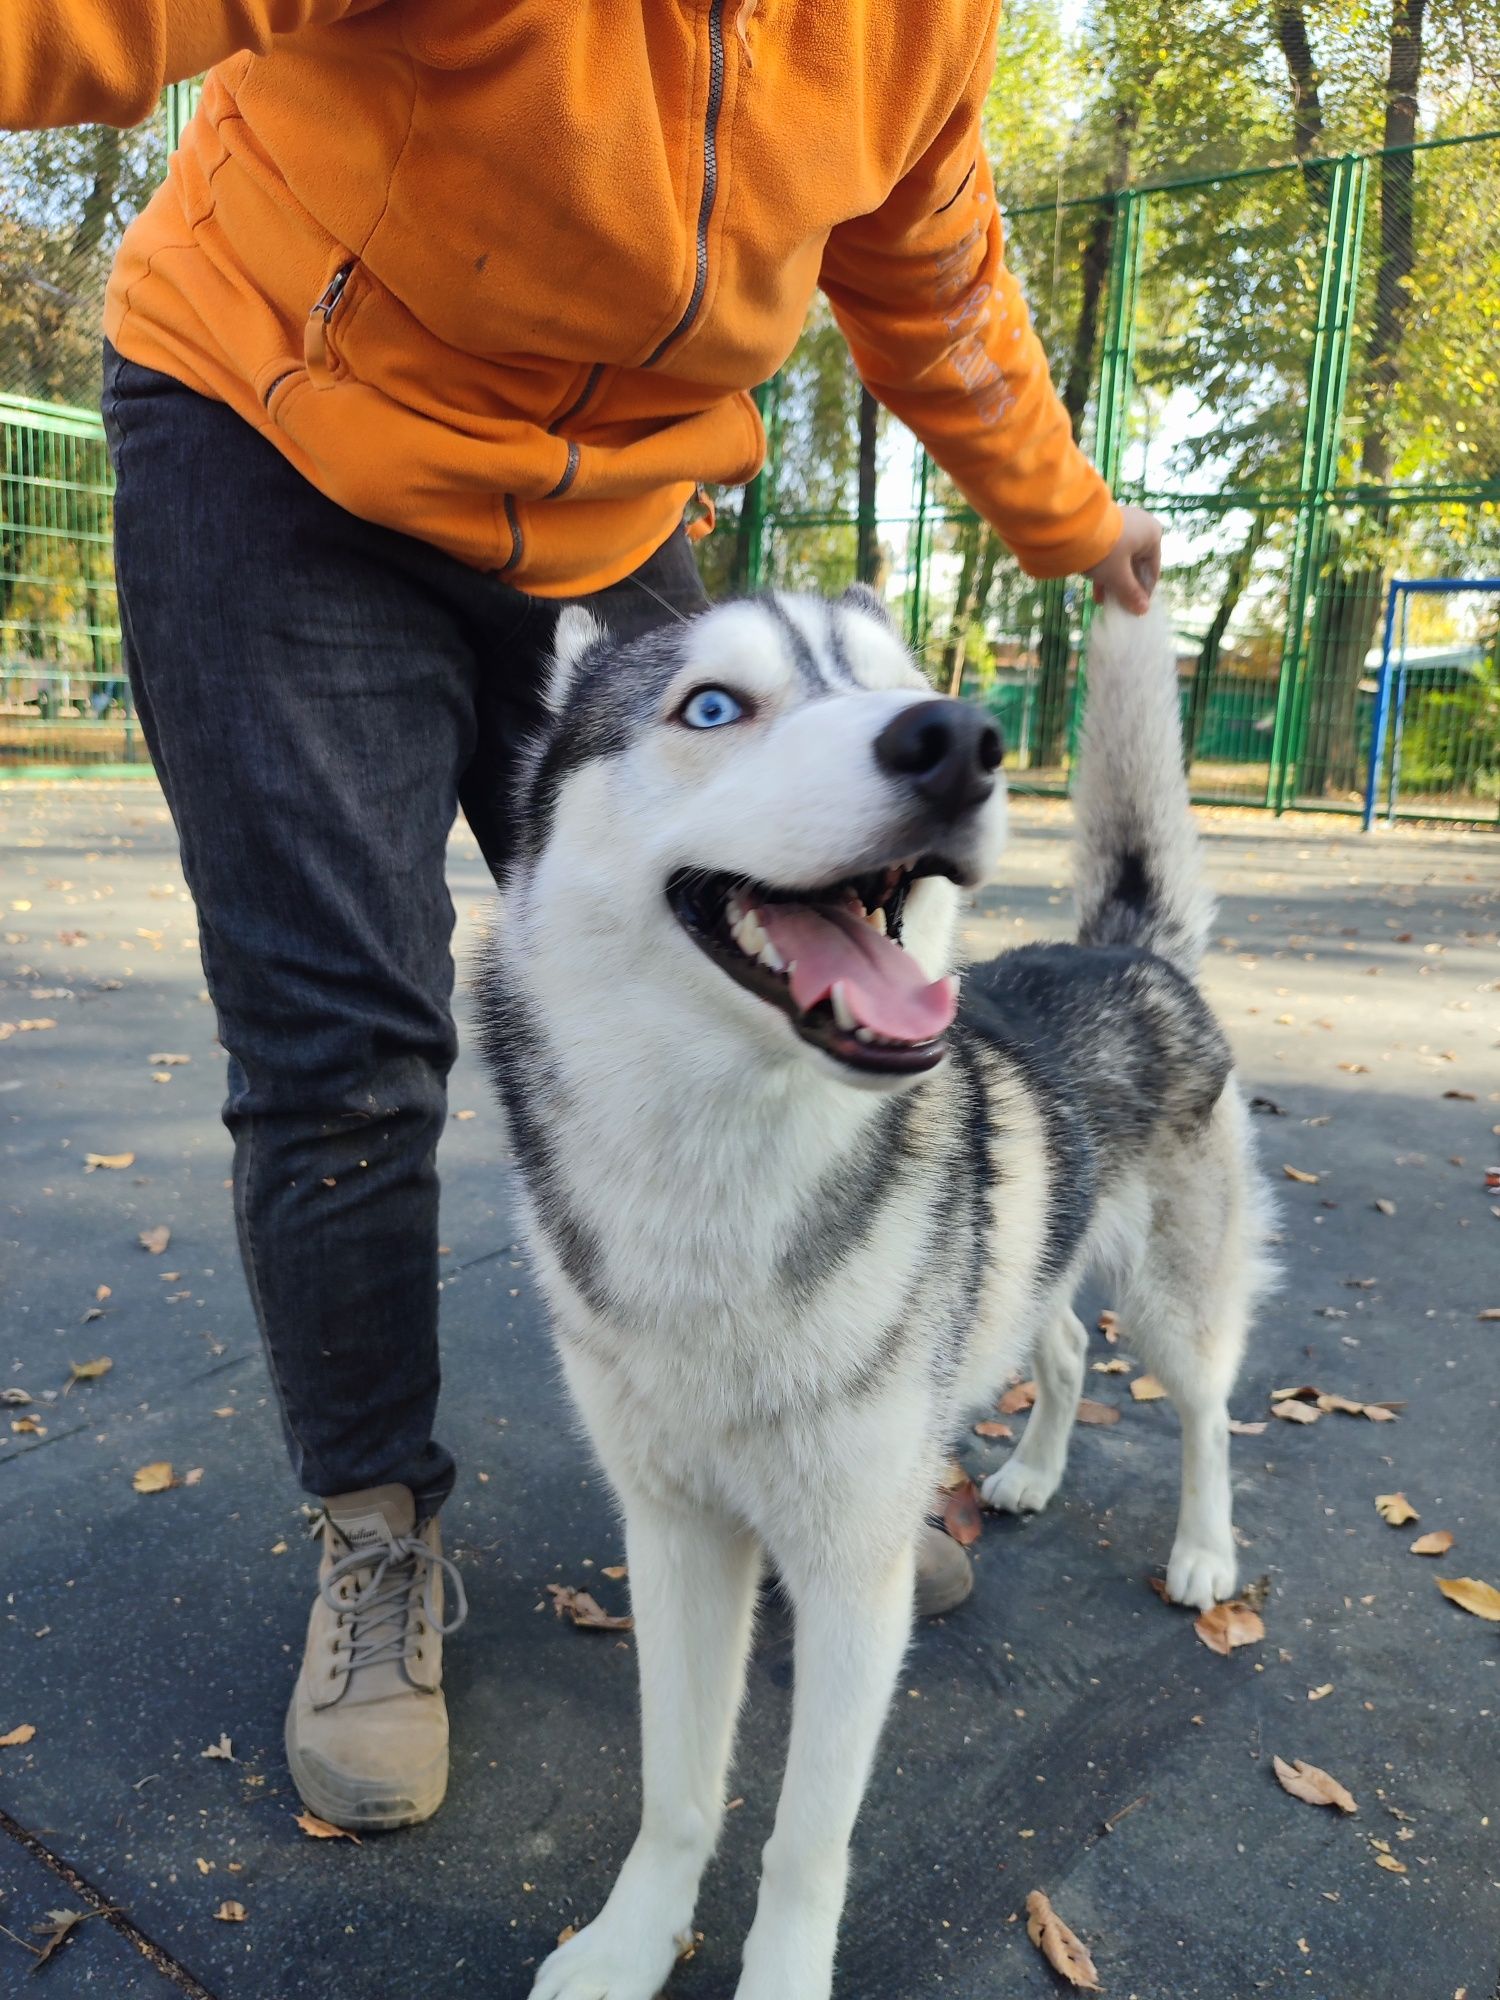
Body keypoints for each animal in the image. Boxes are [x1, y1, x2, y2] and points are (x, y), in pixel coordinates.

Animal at [484, 592, 1272, 2000]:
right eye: (710, 705)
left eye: (895, 680)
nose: (960, 737)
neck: (722, 1184)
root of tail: (1123, 951)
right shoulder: (673, 1533)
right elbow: (676, 1790)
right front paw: (629, 1944)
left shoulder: (856, 1576)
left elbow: (804, 1840)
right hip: (1036, 1270)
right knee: (1064, 1350)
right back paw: (1028, 1473)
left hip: (1177, 1302)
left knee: (1204, 1411)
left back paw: (1203, 1549)